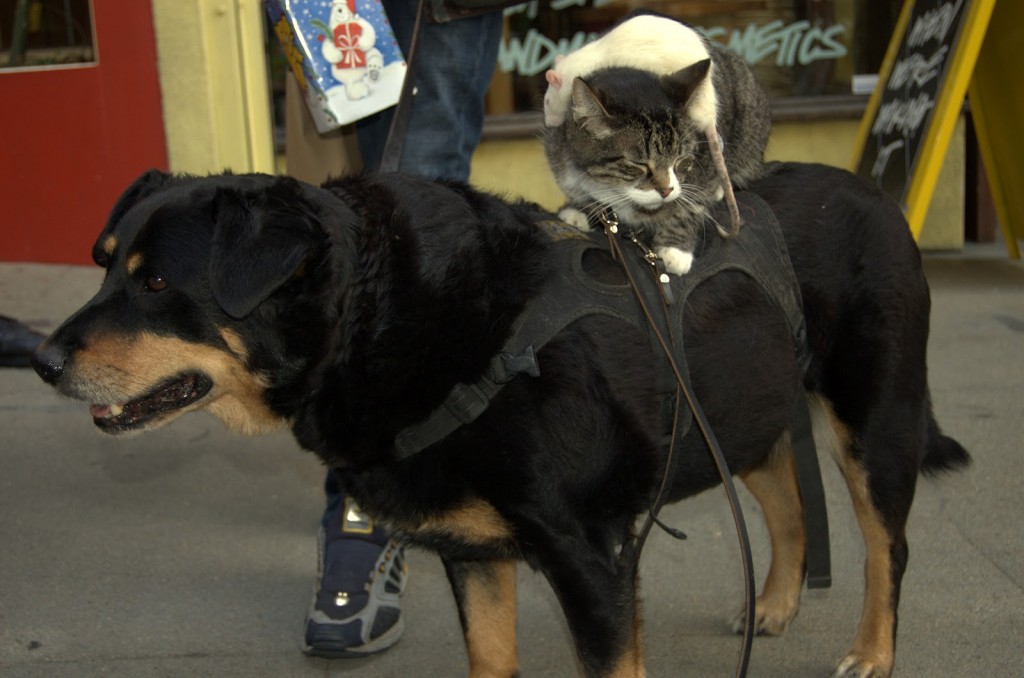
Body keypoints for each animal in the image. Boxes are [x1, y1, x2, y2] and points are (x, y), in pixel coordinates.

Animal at [34, 161, 966, 675]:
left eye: (158, 284)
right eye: (104, 264)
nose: (41, 360)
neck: (389, 317)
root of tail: (873, 191)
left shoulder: (593, 563)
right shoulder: (475, 554)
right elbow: (490, 657)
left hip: (875, 422)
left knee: (888, 548)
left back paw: (874, 652)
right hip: (741, 407)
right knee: (782, 490)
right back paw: (774, 603)